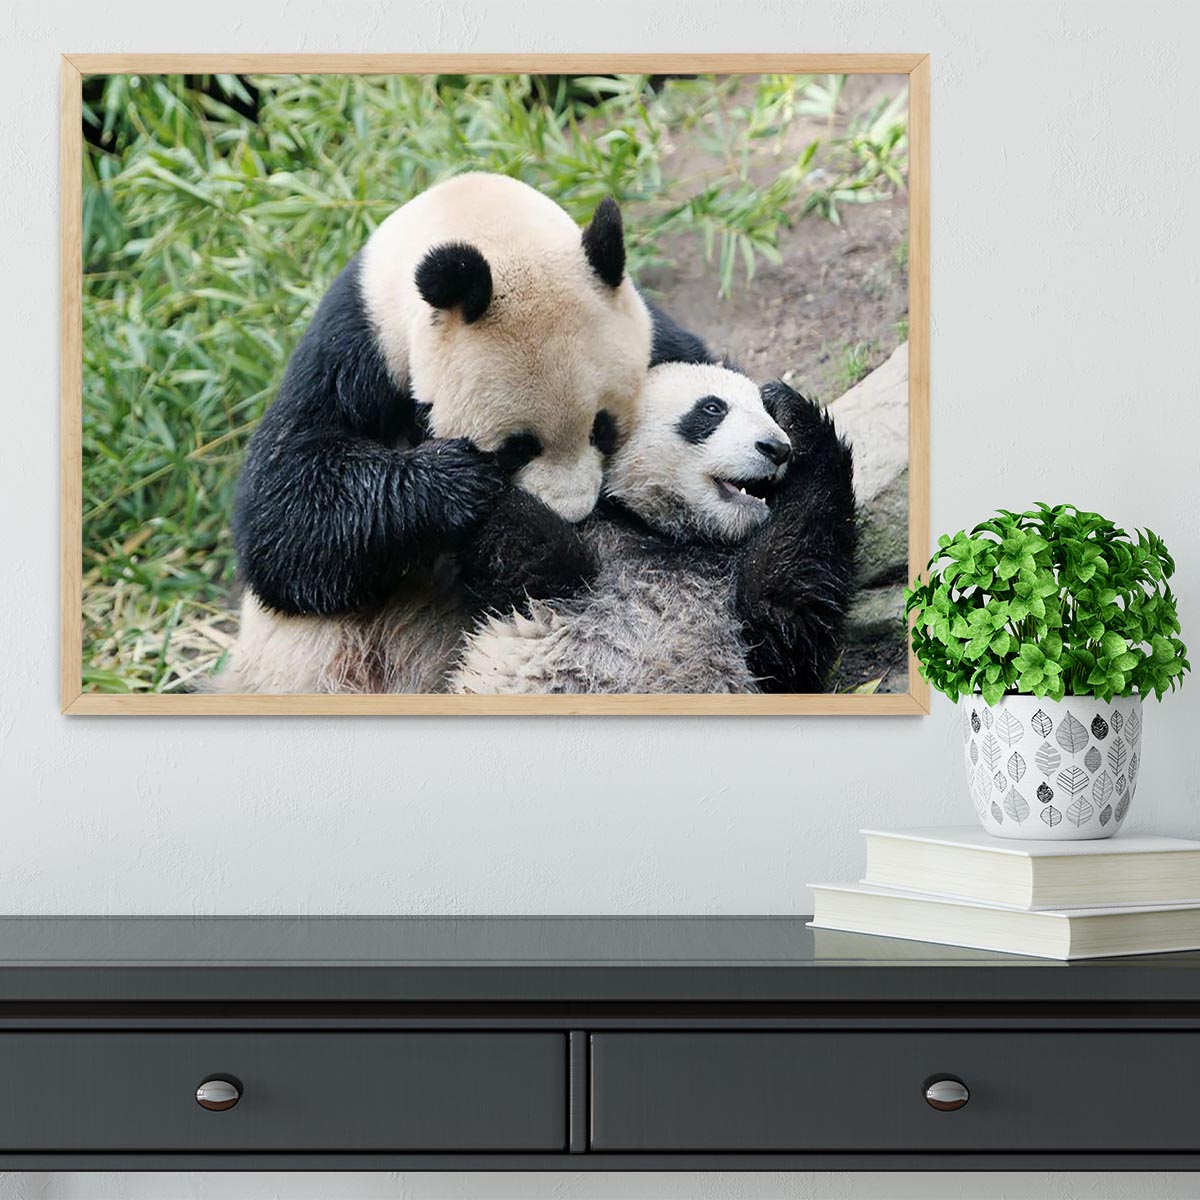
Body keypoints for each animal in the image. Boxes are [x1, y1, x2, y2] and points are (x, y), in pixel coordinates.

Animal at [217, 172, 655, 693]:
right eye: (517, 449)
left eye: (602, 429)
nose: (573, 514)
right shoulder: (356, 345)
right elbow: (283, 509)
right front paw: (459, 483)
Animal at [449, 361, 858, 695]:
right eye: (712, 408)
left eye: (765, 414)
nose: (776, 447)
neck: (674, 536)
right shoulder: (598, 547)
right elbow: (528, 548)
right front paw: (461, 478)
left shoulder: (748, 628)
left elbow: (788, 604)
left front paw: (793, 411)